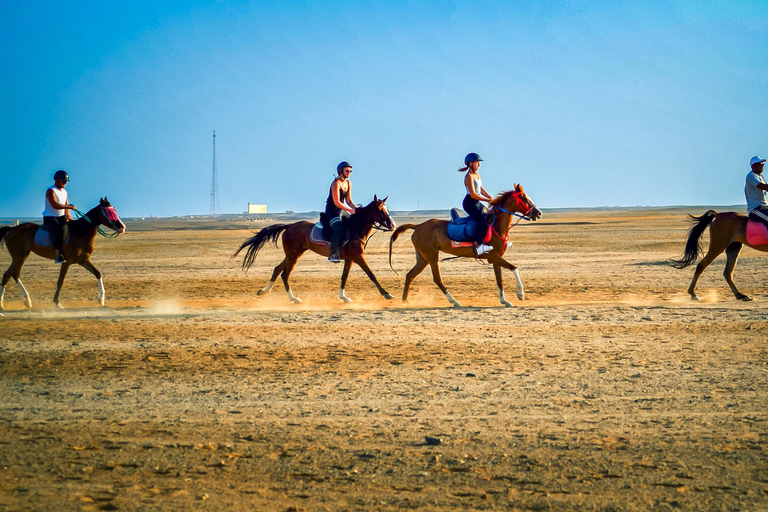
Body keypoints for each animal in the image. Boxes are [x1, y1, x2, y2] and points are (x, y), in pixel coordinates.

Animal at [234, 194, 396, 302]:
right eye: (381, 210)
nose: (393, 225)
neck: (355, 228)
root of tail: (288, 226)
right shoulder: (358, 257)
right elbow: (371, 275)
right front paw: (386, 293)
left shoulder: (350, 259)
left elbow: (344, 276)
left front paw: (343, 297)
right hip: (293, 256)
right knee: (285, 274)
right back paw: (294, 298)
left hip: (292, 254)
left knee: (277, 269)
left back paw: (264, 291)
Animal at [388, 185, 544, 308]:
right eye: (524, 198)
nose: (538, 213)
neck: (496, 226)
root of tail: (418, 226)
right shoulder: (494, 257)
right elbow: (514, 268)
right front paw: (520, 294)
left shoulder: (495, 259)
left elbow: (499, 280)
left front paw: (504, 301)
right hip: (432, 257)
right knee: (437, 279)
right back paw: (454, 302)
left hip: (423, 258)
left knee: (410, 275)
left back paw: (405, 301)